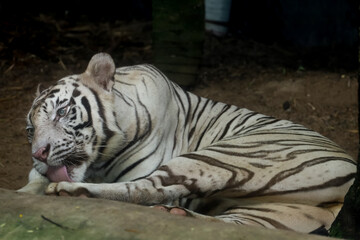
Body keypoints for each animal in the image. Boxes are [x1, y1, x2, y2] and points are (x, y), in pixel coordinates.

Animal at [19, 53, 358, 234]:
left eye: (62, 112)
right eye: (30, 130)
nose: (39, 153)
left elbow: (137, 186)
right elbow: (30, 184)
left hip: (223, 156)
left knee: (147, 189)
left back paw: (74, 191)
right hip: (275, 212)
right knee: (233, 226)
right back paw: (177, 216)